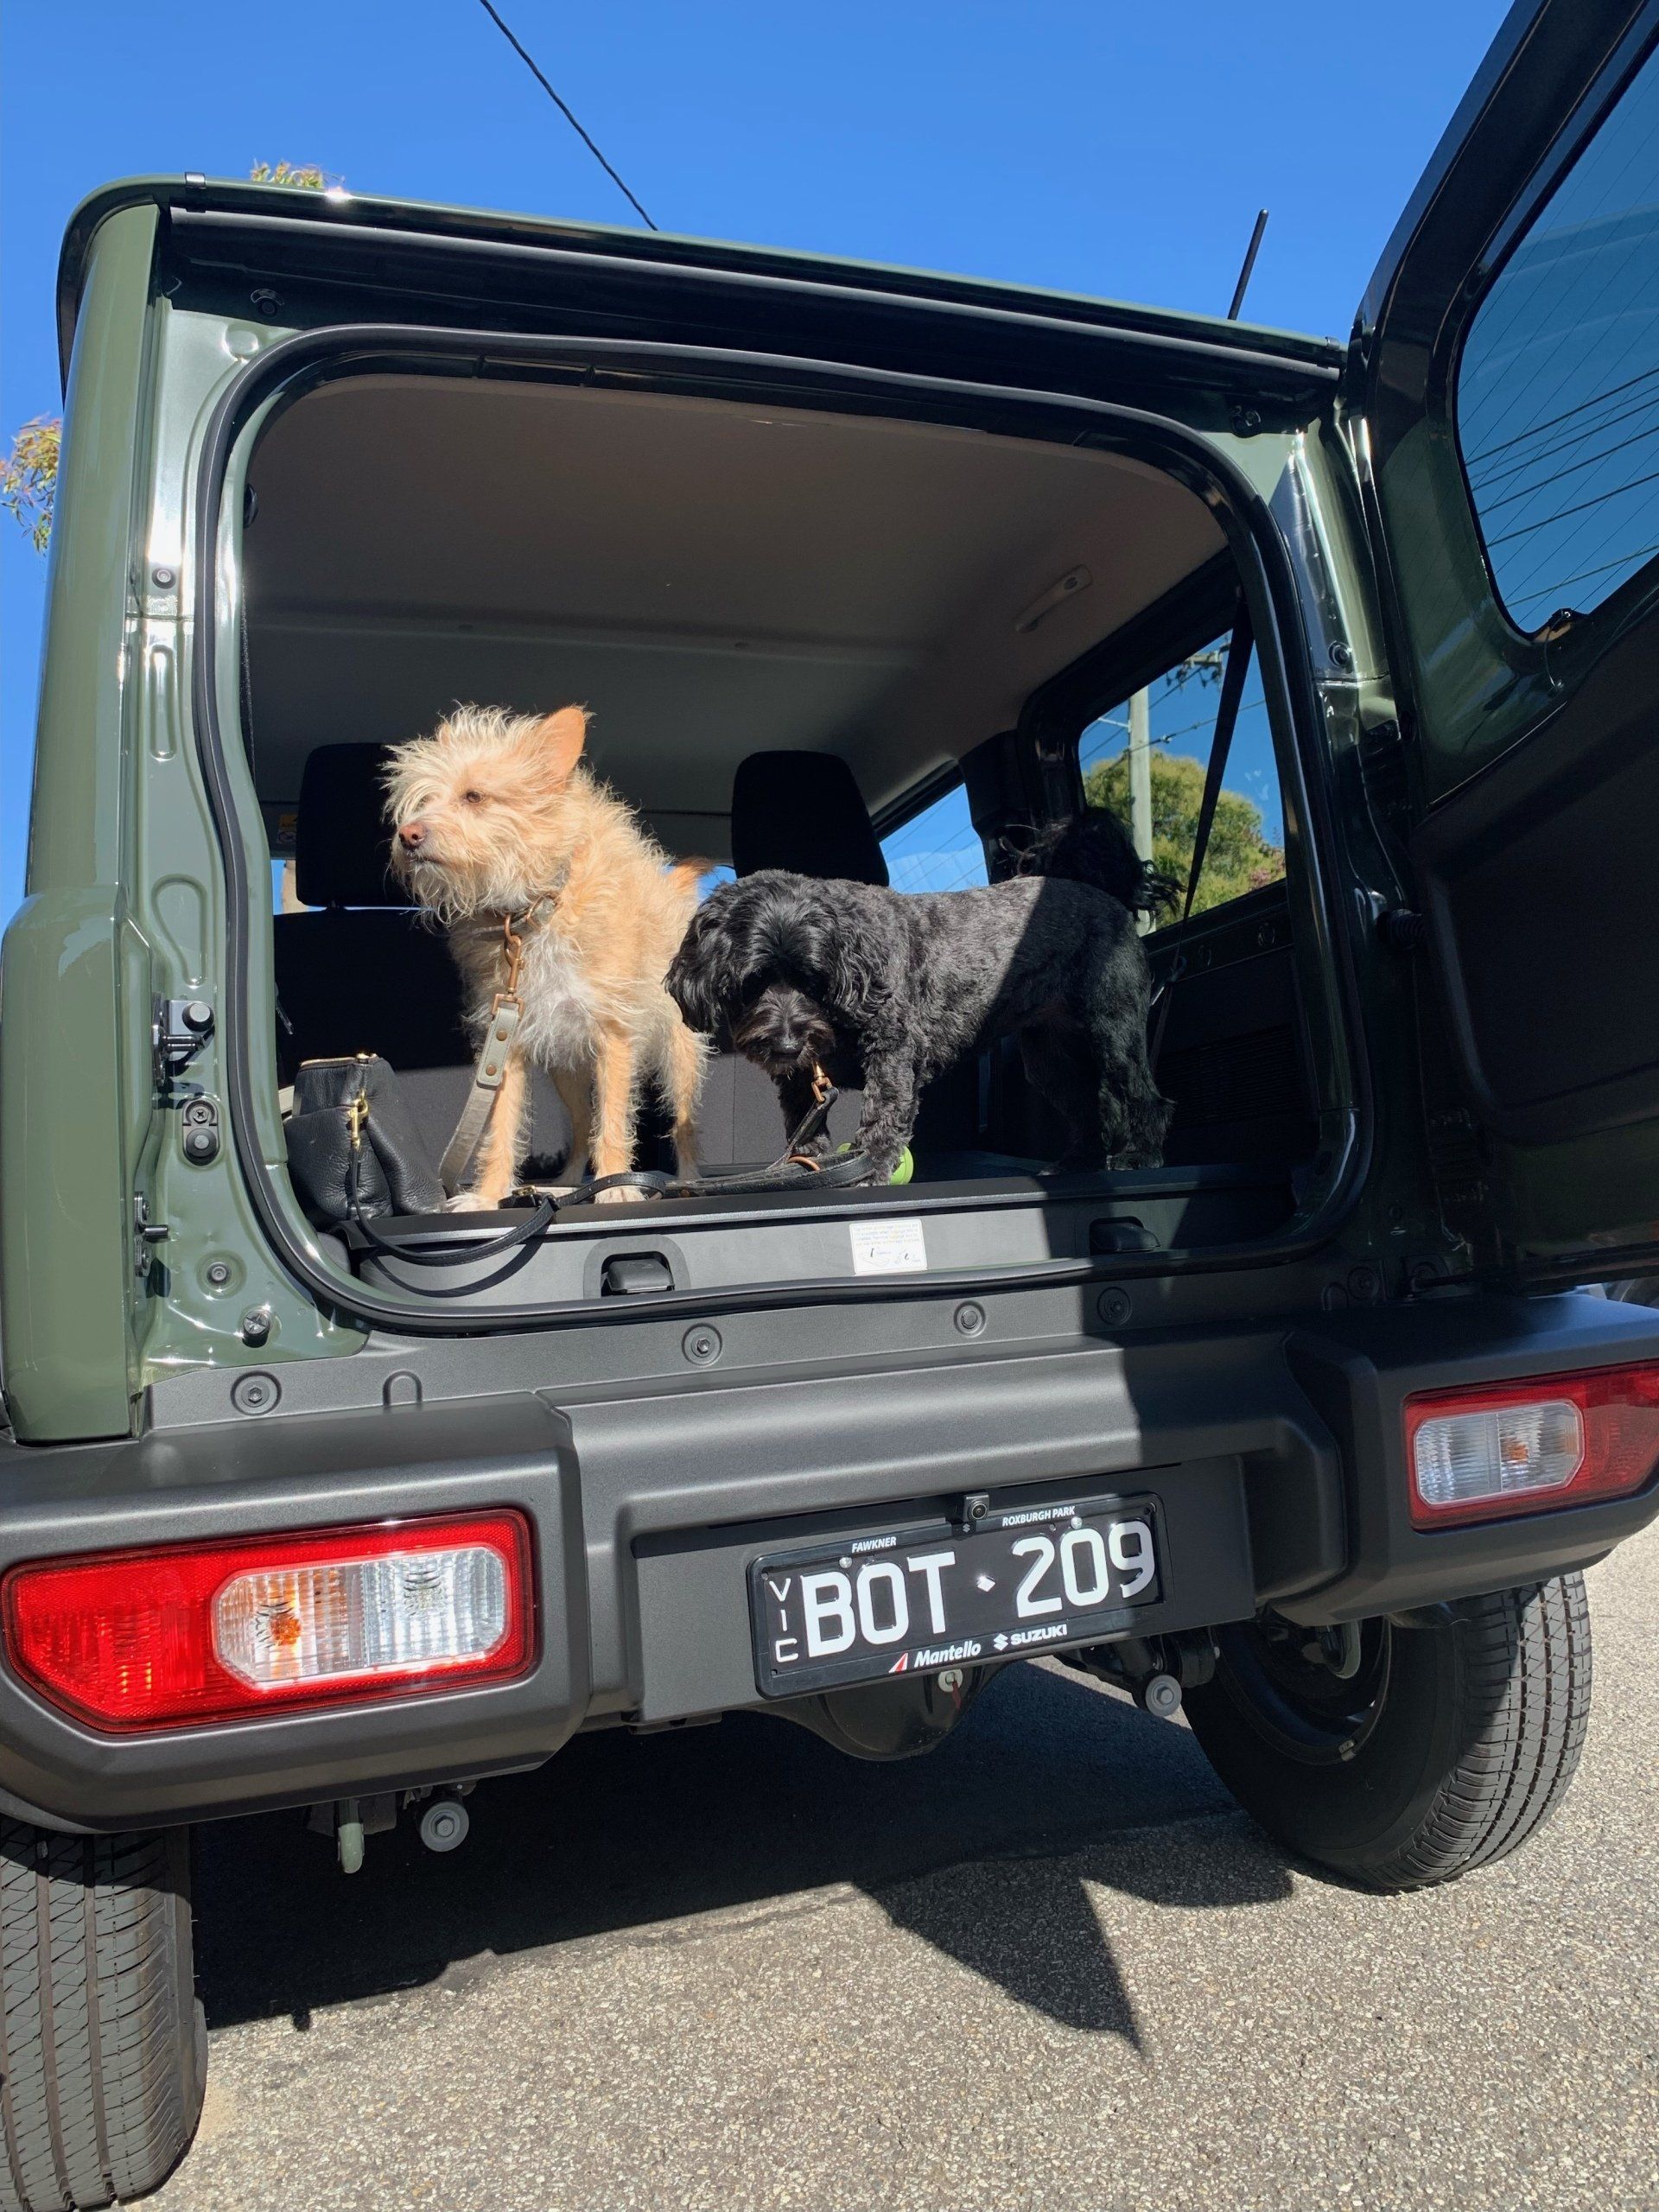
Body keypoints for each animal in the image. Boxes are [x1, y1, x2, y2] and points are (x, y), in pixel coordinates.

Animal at [386, 704, 707, 1207]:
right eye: (420, 802)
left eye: (474, 796)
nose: (408, 835)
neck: (535, 910)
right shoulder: (504, 1042)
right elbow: (501, 1128)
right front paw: (488, 1196)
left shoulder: (615, 1037)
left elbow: (613, 1122)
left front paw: (617, 1187)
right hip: (567, 1071)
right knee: (579, 1125)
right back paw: (569, 1182)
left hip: (679, 1059)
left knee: (679, 1125)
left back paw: (689, 1179)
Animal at [666, 811, 1173, 1183]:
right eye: (752, 983)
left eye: (813, 980)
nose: (788, 1045)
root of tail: (1106, 895)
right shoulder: (797, 1081)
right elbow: (801, 1126)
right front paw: (803, 1166)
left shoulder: (893, 1051)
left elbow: (884, 1115)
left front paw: (869, 1171)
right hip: (1050, 1055)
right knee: (1087, 1106)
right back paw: (1075, 1164)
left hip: (1113, 1027)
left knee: (1142, 1095)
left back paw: (1140, 1156)